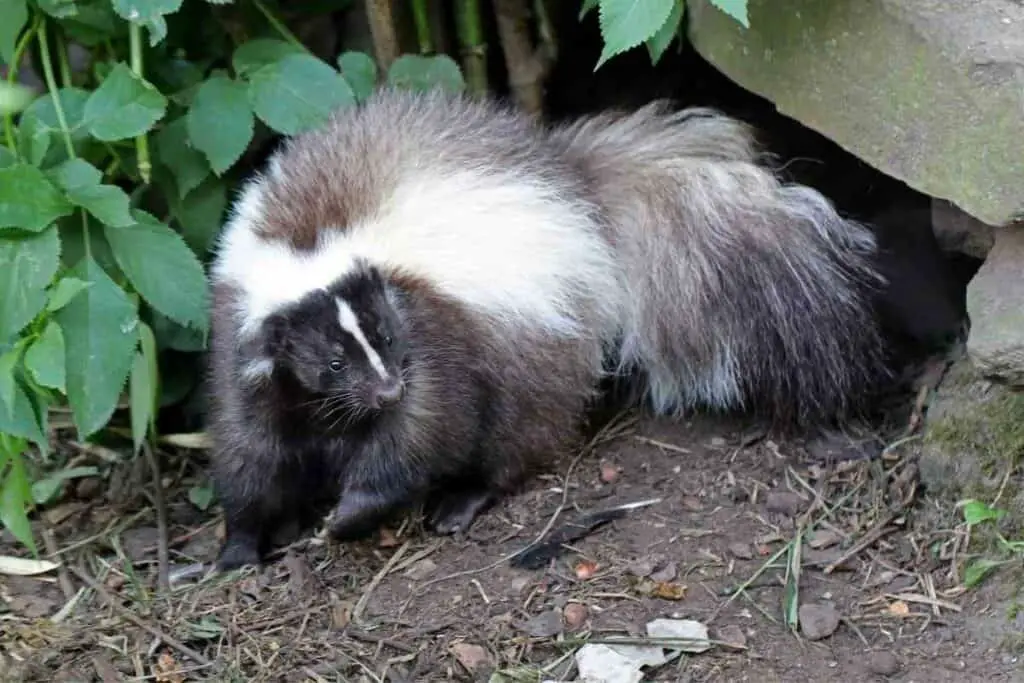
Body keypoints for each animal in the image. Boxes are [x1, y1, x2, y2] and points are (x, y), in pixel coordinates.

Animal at [205, 88, 897, 569]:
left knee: (520, 426)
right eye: (332, 362)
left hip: (536, 331)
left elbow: (422, 431)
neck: (315, 242)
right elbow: (249, 448)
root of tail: (573, 184)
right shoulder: (247, 348)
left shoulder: (438, 328)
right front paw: (239, 547)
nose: (386, 390)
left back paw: (464, 499)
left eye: (387, 337)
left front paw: (347, 516)